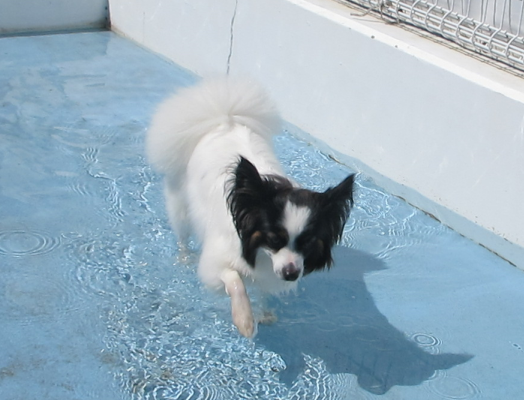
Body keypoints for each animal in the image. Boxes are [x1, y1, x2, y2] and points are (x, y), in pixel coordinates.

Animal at [146, 77, 355, 337]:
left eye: (307, 242)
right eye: (274, 239)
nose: (291, 274)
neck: (259, 252)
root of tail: (225, 120)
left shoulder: (270, 270)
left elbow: (263, 290)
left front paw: (264, 313)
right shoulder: (216, 264)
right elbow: (235, 281)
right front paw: (244, 318)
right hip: (180, 206)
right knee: (182, 234)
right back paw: (184, 258)